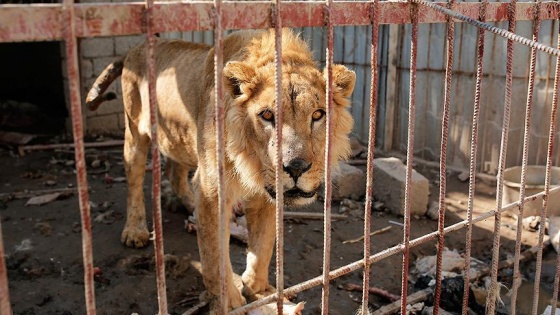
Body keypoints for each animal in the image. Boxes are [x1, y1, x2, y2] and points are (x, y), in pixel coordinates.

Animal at [86, 27, 356, 314]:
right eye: (267, 115)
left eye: (317, 115)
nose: (296, 168)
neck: (251, 163)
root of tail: (133, 48)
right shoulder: (213, 191)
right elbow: (215, 254)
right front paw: (228, 300)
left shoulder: (266, 195)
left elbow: (263, 246)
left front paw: (260, 291)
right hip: (135, 131)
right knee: (135, 179)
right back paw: (135, 230)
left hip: (180, 136)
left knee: (175, 173)